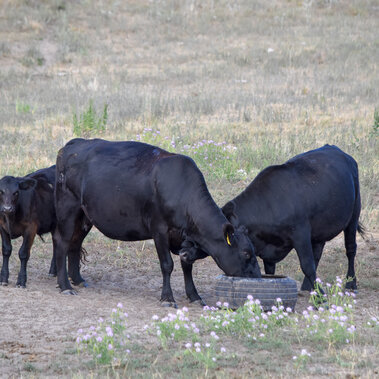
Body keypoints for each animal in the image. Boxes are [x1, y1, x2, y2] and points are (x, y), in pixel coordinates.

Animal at [52, 138, 262, 308]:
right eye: (246, 253)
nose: (258, 277)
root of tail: (75, 143)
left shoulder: (183, 238)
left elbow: (187, 265)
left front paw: (194, 296)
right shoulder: (159, 229)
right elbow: (167, 264)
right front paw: (167, 298)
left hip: (85, 216)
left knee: (75, 243)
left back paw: (78, 279)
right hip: (68, 208)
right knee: (62, 242)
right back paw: (65, 286)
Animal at [181, 145, 366, 290]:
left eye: (199, 237)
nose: (183, 252)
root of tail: (338, 150)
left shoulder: (301, 234)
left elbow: (307, 265)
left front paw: (320, 297)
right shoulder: (270, 249)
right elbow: (270, 271)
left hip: (353, 216)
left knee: (350, 249)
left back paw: (351, 283)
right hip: (319, 231)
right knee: (318, 252)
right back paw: (307, 286)